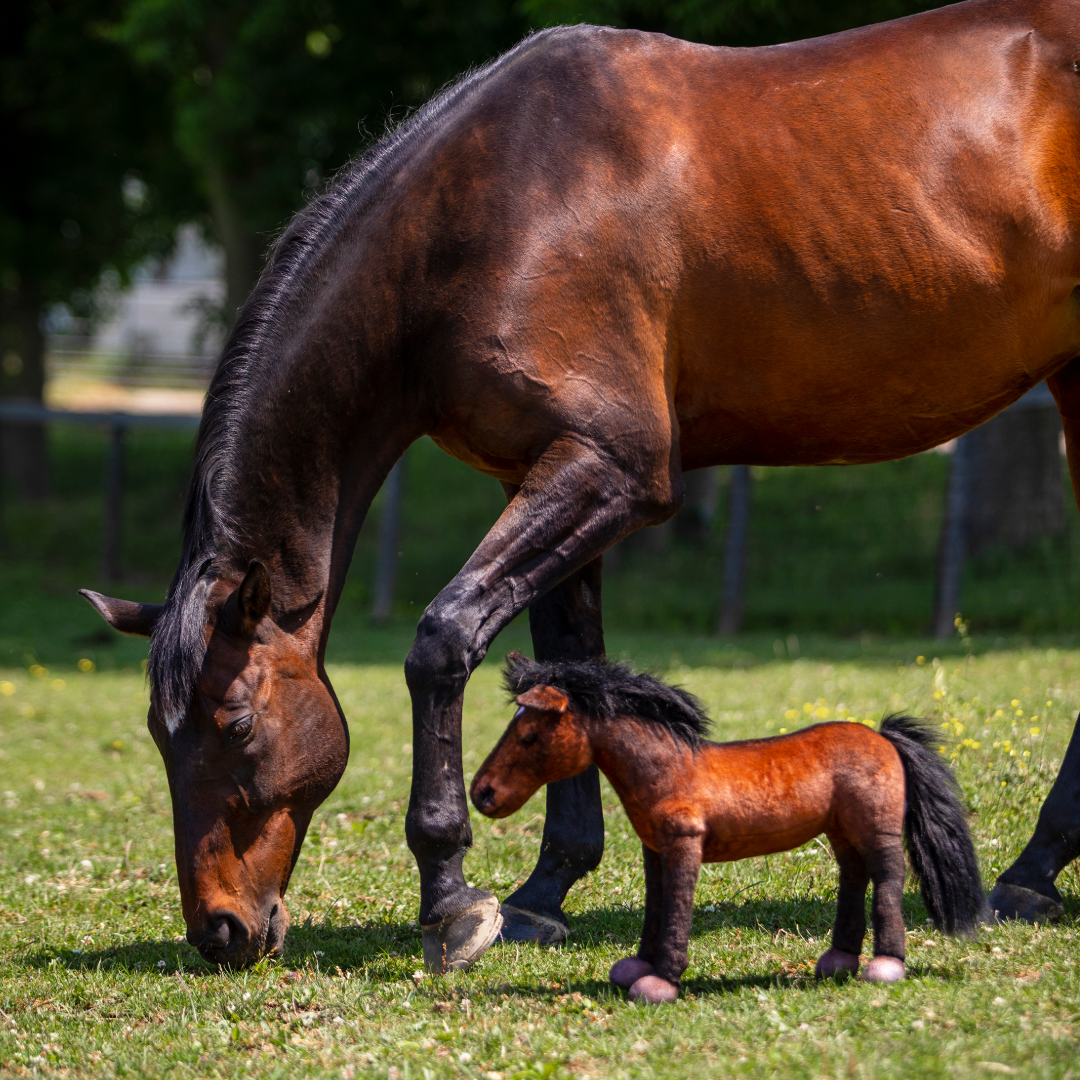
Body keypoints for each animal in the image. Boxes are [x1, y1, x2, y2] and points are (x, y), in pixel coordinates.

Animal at [473, 652, 989, 1006]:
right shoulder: (654, 848)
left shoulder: (684, 845)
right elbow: (656, 903)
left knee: (887, 878)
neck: (670, 769)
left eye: (529, 736)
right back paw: (838, 960)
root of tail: (884, 737)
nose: (482, 793)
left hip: (876, 829)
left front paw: (661, 981)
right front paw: (637, 967)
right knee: (853, 876)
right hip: (842, 832)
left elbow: (677, 906)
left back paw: (886, 964)